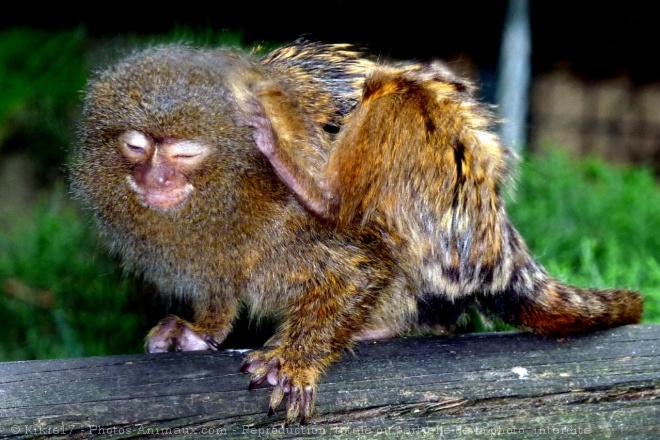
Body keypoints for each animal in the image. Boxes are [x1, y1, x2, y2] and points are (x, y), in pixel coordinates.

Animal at [69, 39, 640, 424]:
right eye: (136, 147)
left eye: (184, 154)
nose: (155, 180)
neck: (236, 188)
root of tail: (500, 235)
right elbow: (219, 284)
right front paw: (202, 329)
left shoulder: (294, 224)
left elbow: (357, 270)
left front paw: (297, 360)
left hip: (451, 210)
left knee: (396, 96)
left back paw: (315, 182)